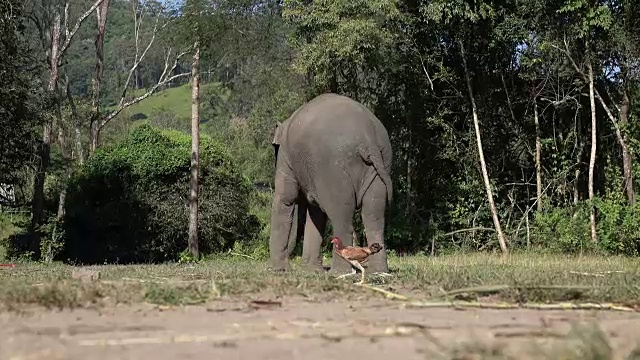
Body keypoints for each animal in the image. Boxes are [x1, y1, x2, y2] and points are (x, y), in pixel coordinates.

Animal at [268, 93, 392, 276]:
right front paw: (312, 270)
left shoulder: (286, 157)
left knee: (341, 216)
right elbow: (316, 213)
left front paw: (278, 270)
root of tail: (368, 139)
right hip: (381, 165)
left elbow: (285, 199)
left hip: (334, 171)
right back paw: (379, 271)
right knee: (374, 215)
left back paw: (338, 272)